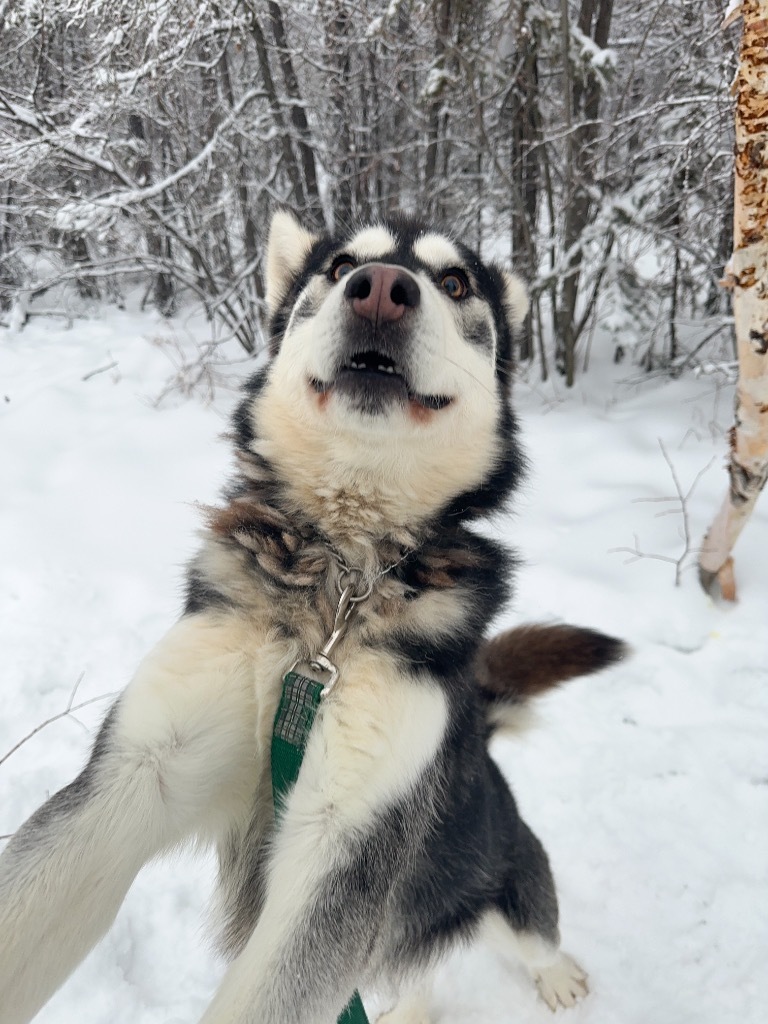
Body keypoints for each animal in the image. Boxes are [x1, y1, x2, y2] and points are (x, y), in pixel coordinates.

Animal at [0, 211, 626, 1019]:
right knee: (414, 971)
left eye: (455, 281)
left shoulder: (347, 852)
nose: (382, 290)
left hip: (494, 884)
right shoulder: (139, 770)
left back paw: (556, 974)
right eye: (339, 265)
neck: (338, 585)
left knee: (528, 935)